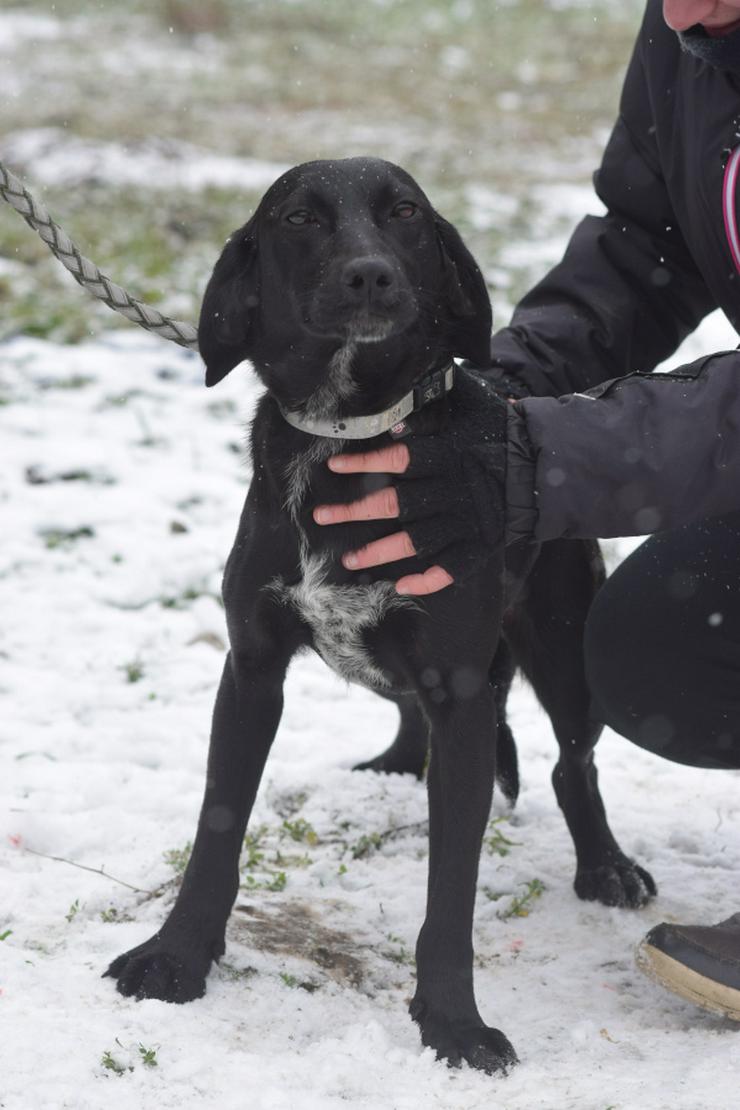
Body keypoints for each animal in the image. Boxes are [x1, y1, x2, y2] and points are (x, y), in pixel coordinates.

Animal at [107, 158, 656, 1074]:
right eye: (298, 217)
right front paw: (177, 958)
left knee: (571, 765)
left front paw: (454, 1025)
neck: (347, 433)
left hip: (568, 651)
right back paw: (398, 766)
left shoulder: (461, 693)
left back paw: (606, 867)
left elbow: (451, 894)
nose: (371, 275)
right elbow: (217, 833)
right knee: (415, 712)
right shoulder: (250, 669)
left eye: (404, 213)